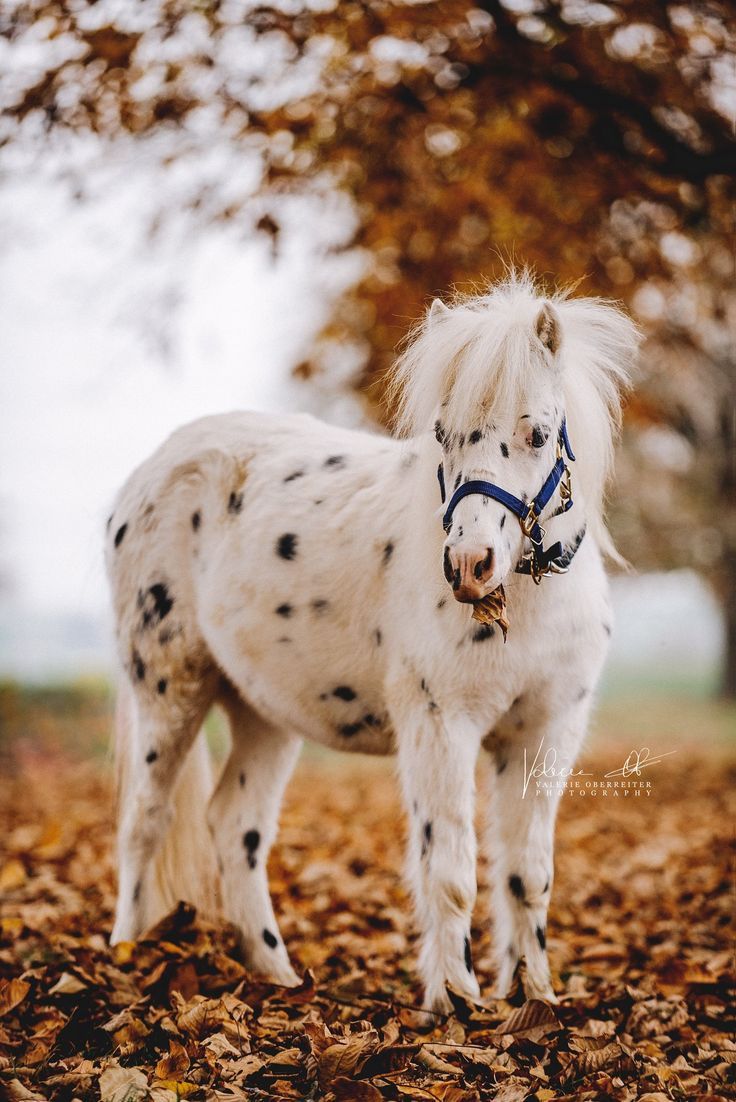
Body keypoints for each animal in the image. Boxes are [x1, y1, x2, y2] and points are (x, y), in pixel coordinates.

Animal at [104, 273, 639, 1009]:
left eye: (536, 434)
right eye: (442, 434)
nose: (469, 565)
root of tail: (149, 474)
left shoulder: (544, 733)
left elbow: (528, 876)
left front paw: (534, 1000)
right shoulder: (442, 727)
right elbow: (451, 872)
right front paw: (458, 1003)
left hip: (263, 713)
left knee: (235, 827)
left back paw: (278, 976)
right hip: (170, 689)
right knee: (145, 823)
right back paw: (128, 954)